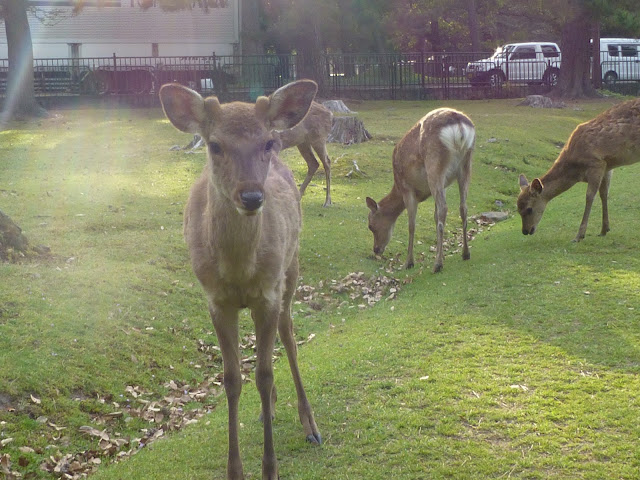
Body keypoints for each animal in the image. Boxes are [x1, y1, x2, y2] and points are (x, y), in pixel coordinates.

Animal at [159, 79, 320, 480]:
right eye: (214, 144)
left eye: (266, 142)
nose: (250, 195)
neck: (238, 269)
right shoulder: (215, 300)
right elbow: (232, 379)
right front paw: (235, 469)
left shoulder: (268, 292)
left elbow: (262, 374)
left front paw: (269, 468)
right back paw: (270, 409)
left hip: (291, 268)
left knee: (289, 336)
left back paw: (309, 424)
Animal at [364, 109, 476, 274]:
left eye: (371, 226)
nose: (376, 249)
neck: (397, 187)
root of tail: (460, 125)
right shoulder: (445, 186)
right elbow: (435, 217)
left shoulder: (407, 188)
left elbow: (411, 224)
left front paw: (408, 262)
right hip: (466, 165)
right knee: (463, 207)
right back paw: (465, 253)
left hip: (434, 165)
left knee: (444, 208)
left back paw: (437, 265)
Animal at [520, 98, 640, 242]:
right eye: (518, 209)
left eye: (529, 209)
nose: (525, 231)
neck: (575, 172)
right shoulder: (607, 166)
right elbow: (604, 194)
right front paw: (604, 229)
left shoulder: (596, 163)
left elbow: (589, 196)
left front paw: (579, 235)